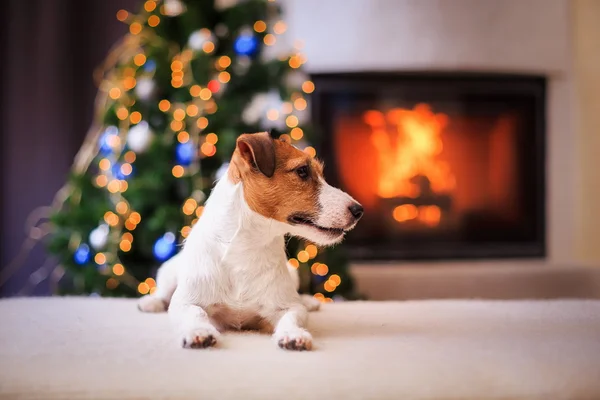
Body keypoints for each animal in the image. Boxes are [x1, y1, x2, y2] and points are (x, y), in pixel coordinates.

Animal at [138, 131, 364, 350]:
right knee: (163, 293)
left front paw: (293, 334)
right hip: (168, 270)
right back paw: (150, 302)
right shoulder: (186, 302)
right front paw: (199, 331)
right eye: (302, 171)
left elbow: (292, 316)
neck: (247, 248)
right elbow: (195, 312)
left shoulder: (287, 307)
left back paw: (308, 301)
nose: (359, 210)